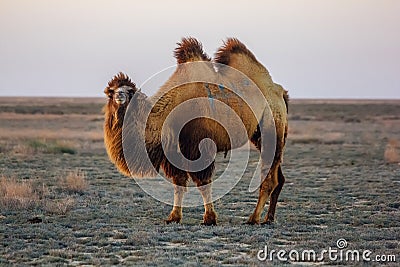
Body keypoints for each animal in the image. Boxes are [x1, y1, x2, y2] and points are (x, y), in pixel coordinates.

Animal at [104, 37, 290, 226]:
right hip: (260, 134)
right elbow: (179, 182)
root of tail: (279, 91)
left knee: (269, 177)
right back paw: (269, 218)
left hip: (272, 124)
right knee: (278, 177)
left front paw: (209, 218)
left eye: (130, 91)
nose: (119, 96)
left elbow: (203, 182)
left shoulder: (197, 145)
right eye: (111, 92)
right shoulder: (174, 150)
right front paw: (174, 217)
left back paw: (254, 218)